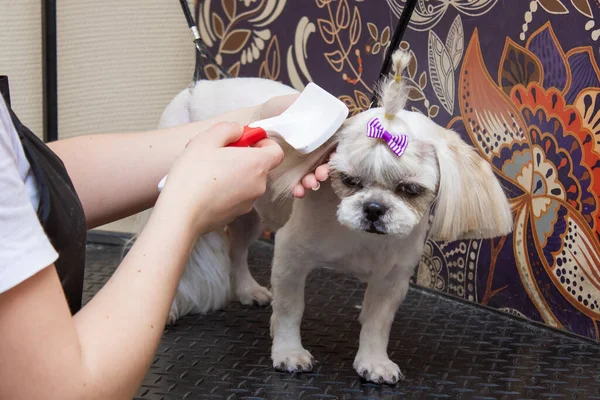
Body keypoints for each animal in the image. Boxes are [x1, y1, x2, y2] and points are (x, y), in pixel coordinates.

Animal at [138, 50, 512, 384]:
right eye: (348, 181)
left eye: (410, 189)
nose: (373, 208)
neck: (363, 240)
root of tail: (197, 88)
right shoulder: (290, 253)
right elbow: (291, 310)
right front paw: (288, 353)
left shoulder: (393, 278)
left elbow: (378, 324)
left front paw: (374, 361)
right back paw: (169, 310)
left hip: (248, 212)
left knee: (237, 250)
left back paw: (246, 289)